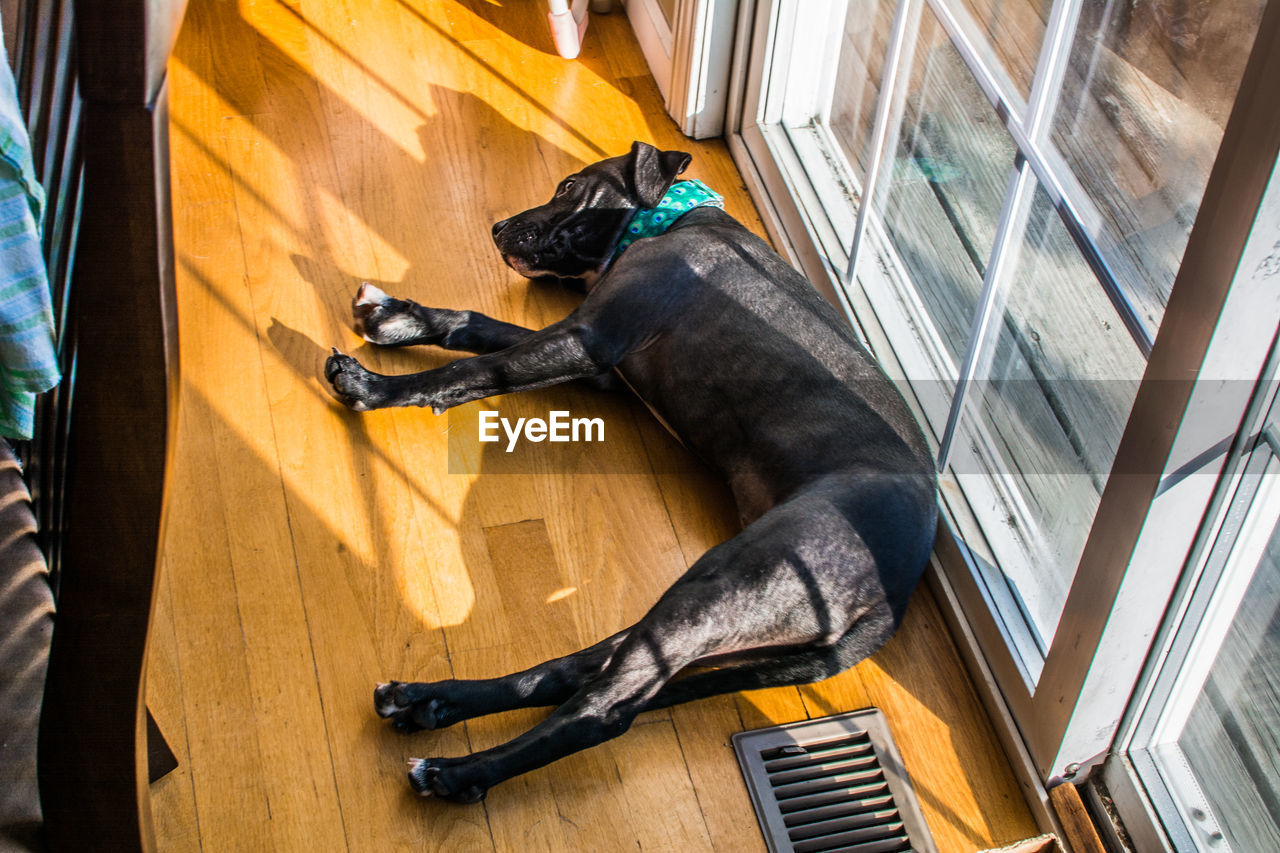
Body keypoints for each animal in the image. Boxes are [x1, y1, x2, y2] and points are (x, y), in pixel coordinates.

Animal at [325, 140, 936, 804]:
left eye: (569, 187)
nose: (497, 227)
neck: (669, 220)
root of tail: (896, 598)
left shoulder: (586, 340)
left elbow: (471, 371)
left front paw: (375, 387)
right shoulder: (596, 363)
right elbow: (475, 326)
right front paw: (399, 317)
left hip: (730, 581)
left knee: (602, 711)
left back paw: (461, 772)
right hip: (720, 604)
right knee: (571, 673)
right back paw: (430, 701)